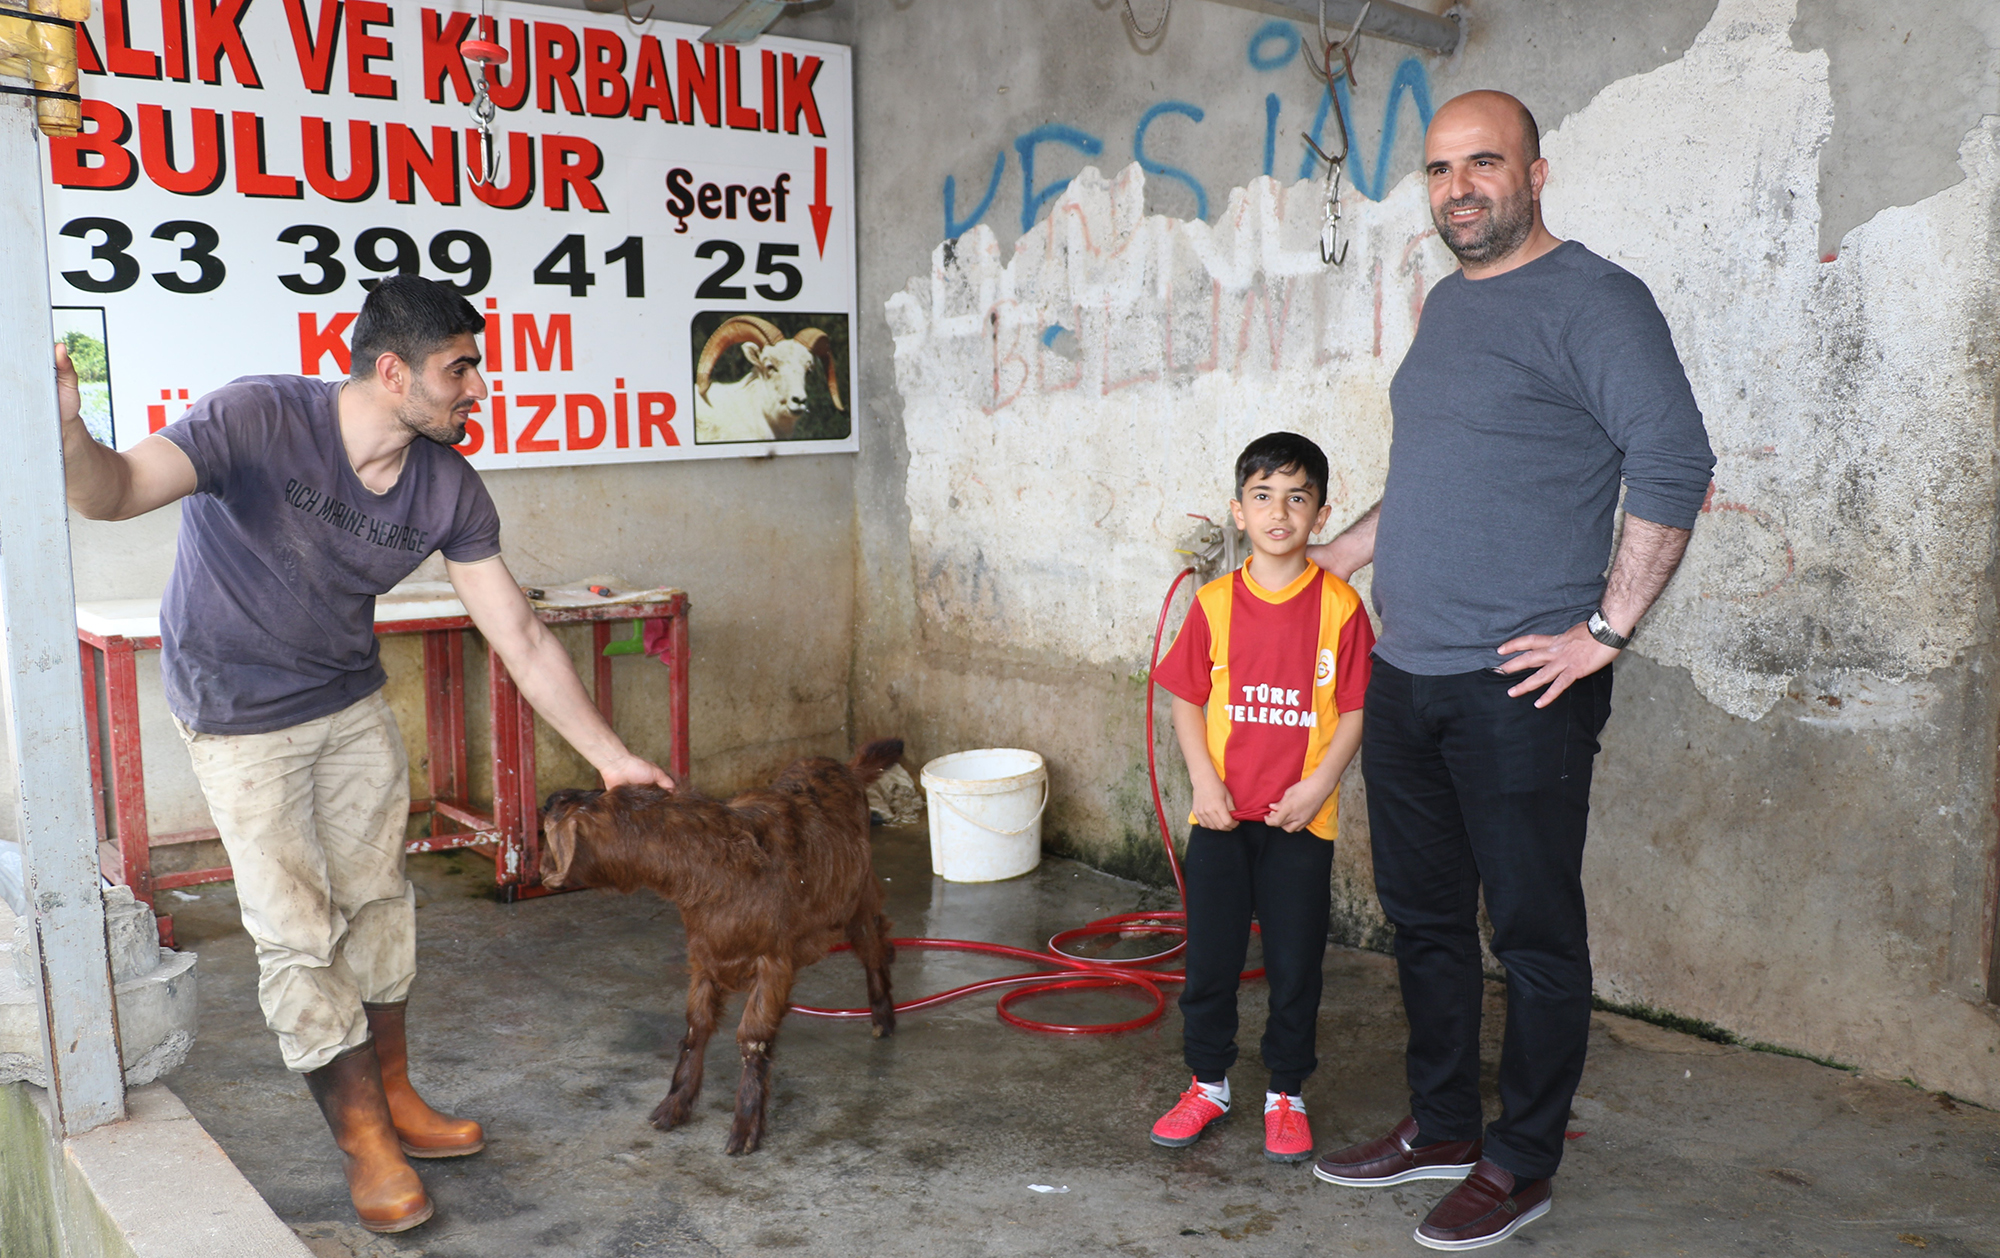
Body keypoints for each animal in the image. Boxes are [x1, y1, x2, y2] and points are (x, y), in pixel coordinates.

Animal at [540, 740, 900, 1152]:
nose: (547, 800)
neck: (715, 868)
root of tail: (848, 769)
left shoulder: (773, 960)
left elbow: (752, 1037)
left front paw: (745, 1127)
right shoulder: (705, 956)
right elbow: (697, 1027)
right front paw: (673, 1105)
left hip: (857, 896)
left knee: (874, 944)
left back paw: (883, 1019)